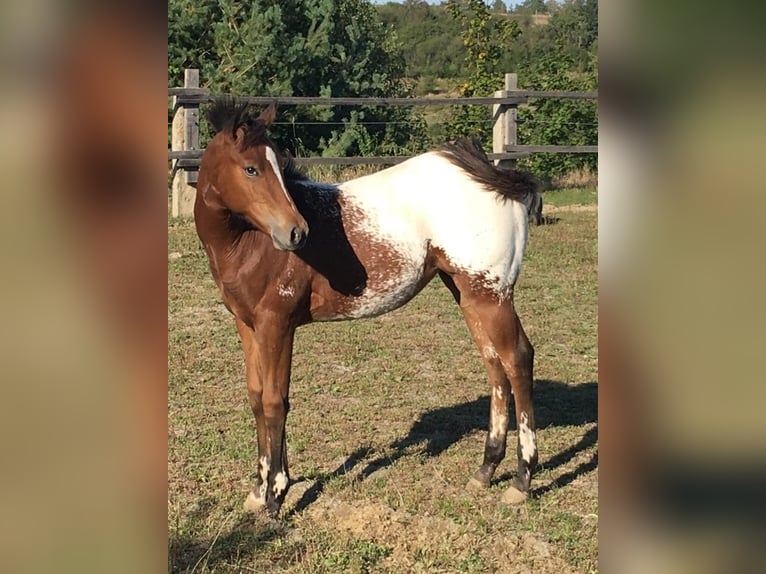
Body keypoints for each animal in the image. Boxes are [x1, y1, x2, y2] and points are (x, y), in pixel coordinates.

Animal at [195, 99, 544, 516]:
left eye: (278, 163)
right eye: (251, 168)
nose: (297, 232)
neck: (249, 245)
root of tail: (492, 176)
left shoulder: (276, 324)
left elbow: (274, 401)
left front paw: (276, 495)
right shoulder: (247, 325)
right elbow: (255, 397)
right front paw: (257, 491)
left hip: (492, 294)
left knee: (517, 359)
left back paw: (522, 480)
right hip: (468, 293)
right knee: (495, 364)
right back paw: (486, 470)